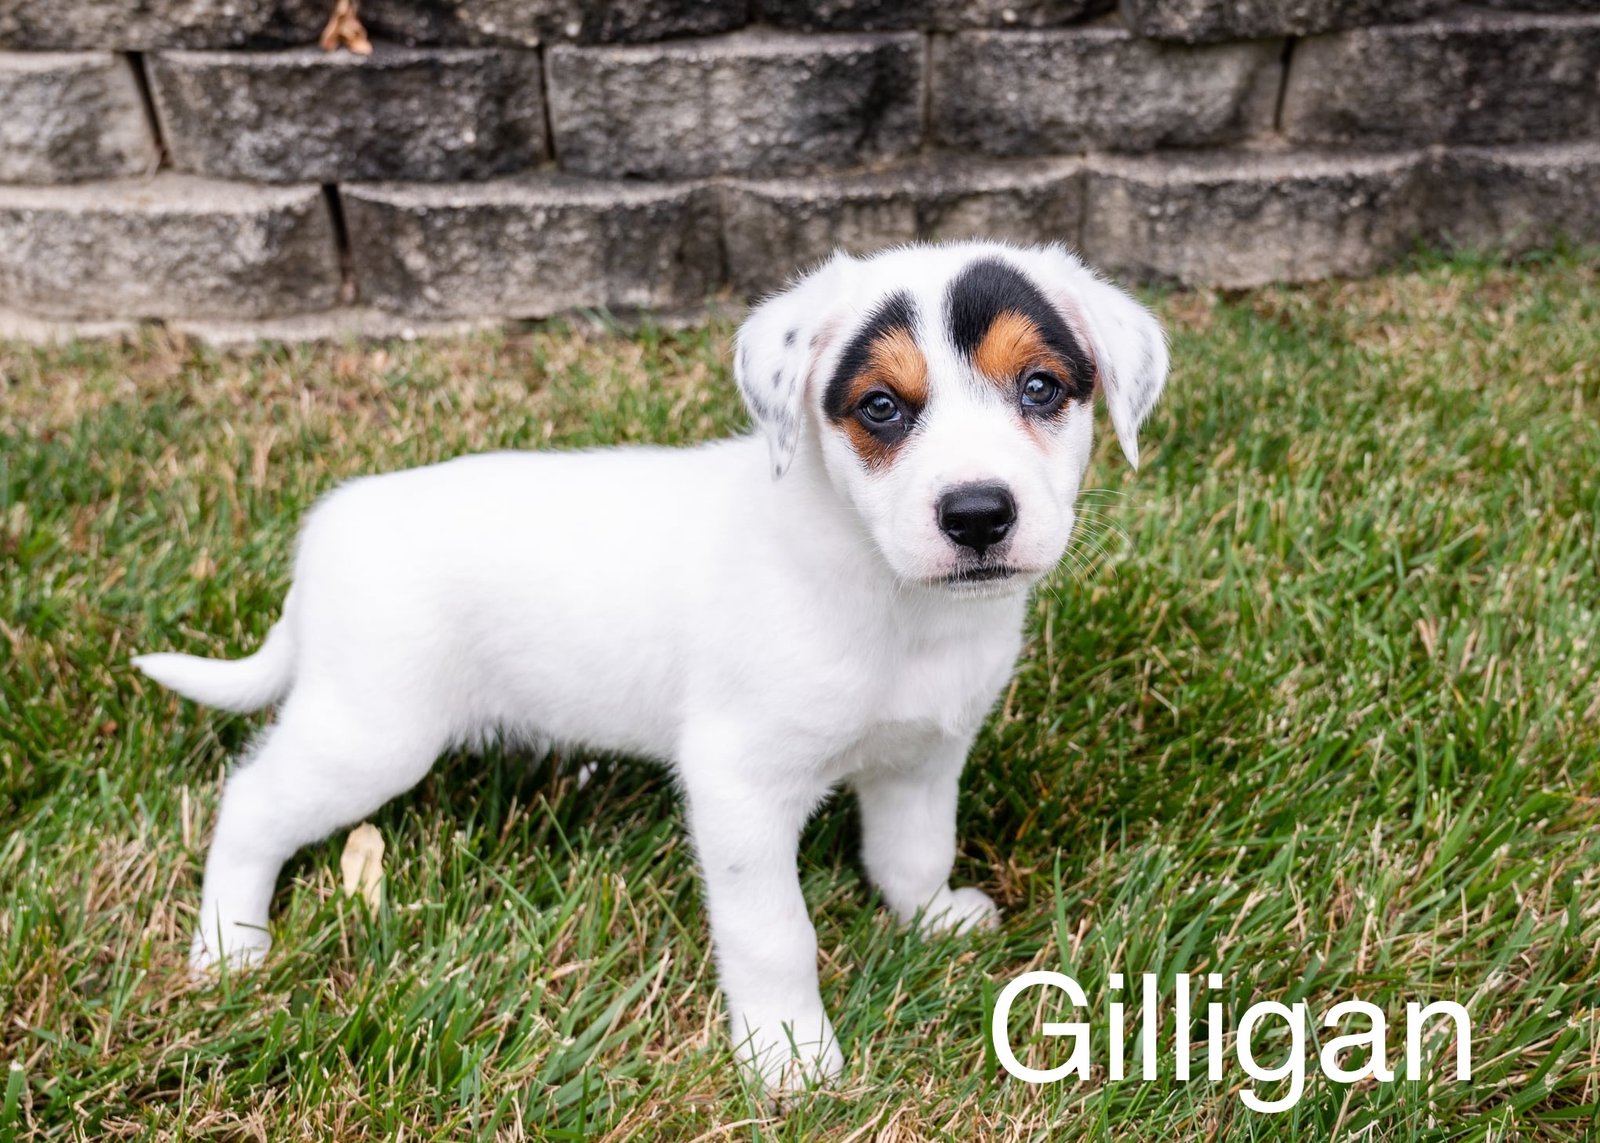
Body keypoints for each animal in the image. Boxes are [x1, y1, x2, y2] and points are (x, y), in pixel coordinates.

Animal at [133, 240, 1169, 1094]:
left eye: (1041, 388)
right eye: (880, 405)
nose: (979, 513)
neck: (889, 596)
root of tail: (326, 532)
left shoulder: (920, 759)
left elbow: (912, 851)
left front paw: (929, 920)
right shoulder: (738, 784)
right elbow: (772, 934)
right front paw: (790, 1059)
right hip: (372, 730)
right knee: (251, 802)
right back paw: (230, 945)